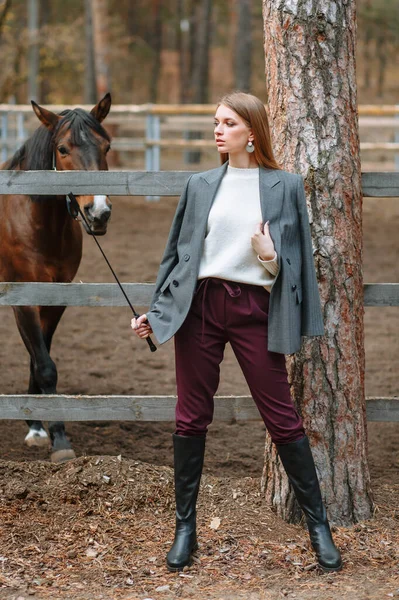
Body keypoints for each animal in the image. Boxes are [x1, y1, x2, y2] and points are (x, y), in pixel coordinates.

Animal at [0, 94, 112, 462]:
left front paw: (37, 424)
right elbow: (45, 364)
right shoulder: (23, 302)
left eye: (106, 146)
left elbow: (39, 358)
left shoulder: (56, 299)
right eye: (62, 149)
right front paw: (57, 440)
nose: (98, 212)